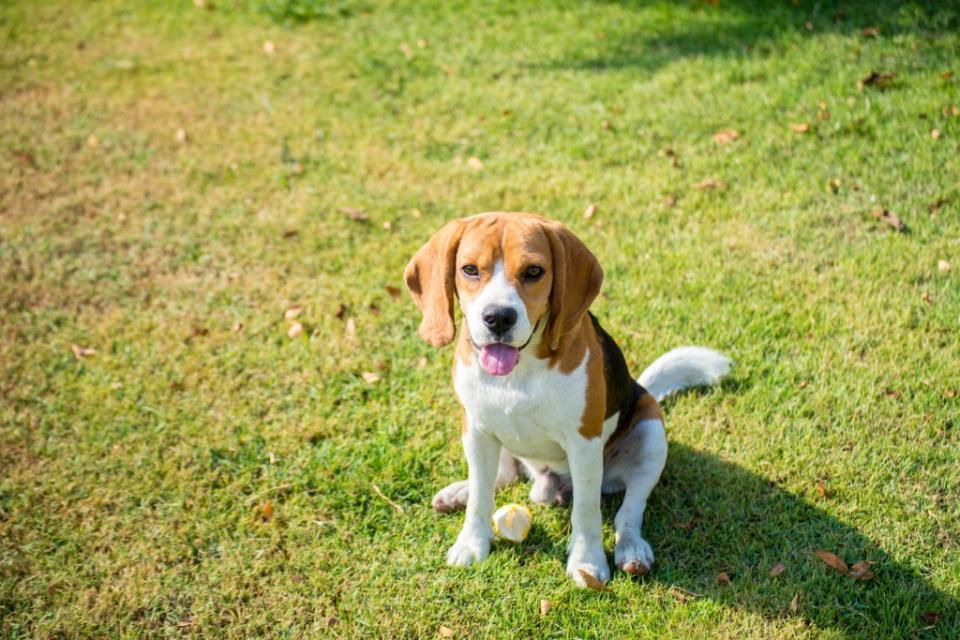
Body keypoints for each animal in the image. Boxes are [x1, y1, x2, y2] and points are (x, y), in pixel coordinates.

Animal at [404, 211, 728, 584]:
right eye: (470, 269)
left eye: (534, 271)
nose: (498, 318)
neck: (520, 371)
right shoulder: (476, 429)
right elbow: (481, 499)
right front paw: (472, 543)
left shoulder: (584, 443)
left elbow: (586, 512)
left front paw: (587, 562)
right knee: (500, 476)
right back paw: (460, 491)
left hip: (651, 433)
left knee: (630, 509)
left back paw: (632, 549)